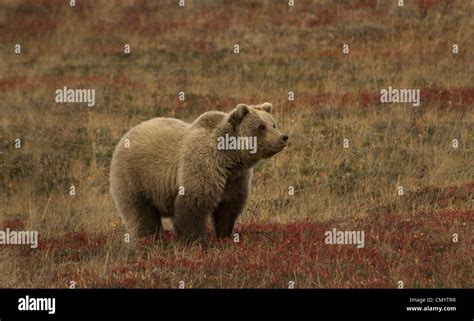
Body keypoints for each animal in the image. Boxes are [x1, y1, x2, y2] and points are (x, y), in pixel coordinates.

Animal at [110, 102, 288, 242]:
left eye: (273, 124)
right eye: (261, 127)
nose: (283, 137)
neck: (229, 159)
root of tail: (128, 133)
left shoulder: (235, 179)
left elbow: (229, 207)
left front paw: (225, 236)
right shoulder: (202, 166)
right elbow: (193, 206)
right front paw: (195, 241)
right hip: (134, 177)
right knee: (141, 215)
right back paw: (148, 240)